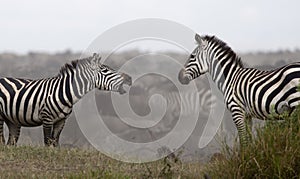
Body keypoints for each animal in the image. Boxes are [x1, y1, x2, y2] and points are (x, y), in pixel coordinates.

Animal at [0, 53, 132, 147]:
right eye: (105, 71)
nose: (129, 78)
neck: (63, 92)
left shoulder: (61, 121)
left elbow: (55, 143)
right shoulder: (46, 118)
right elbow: (47, 142)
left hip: (13, 120)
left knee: (10, 143)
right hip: (1, 116)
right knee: (2, 140)